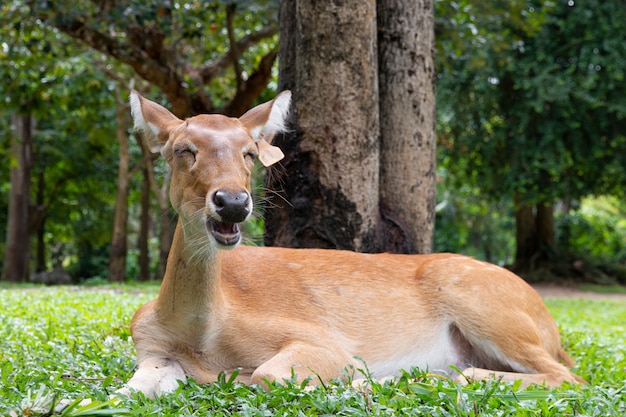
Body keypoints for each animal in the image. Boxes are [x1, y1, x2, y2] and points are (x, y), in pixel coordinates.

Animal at [124, 90, 584, 396]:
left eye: (249, 153)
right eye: (183, 149)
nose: (233, 202)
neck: (201, 332)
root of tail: (549, 324)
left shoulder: (322, 338)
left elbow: (266, 375)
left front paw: (353, 380)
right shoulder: (148, 345)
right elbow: (127, 391)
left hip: (487, 305)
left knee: (568, 376)